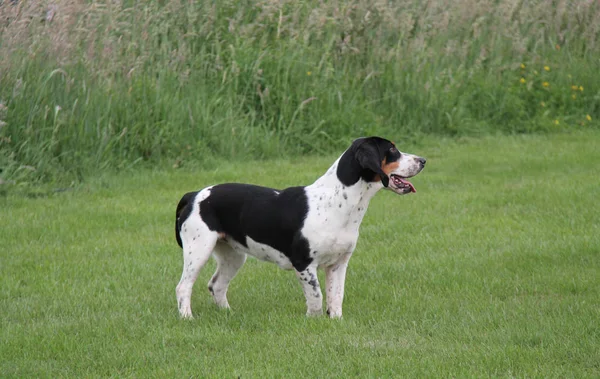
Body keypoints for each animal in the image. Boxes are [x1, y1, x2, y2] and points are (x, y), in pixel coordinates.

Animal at [175, 138, 426, 320]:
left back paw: (229, 314)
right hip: (199, 250)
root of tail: (194, 195)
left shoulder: (338, 264)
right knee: (183, 287)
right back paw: (188, 318)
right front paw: (313, 320)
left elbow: (336, 297)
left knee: (216, 285)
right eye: (392, 150)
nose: (423, 160)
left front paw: (335, 320)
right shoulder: (304, 264)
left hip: (233, 256)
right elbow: (316, 296)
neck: (338, 203)